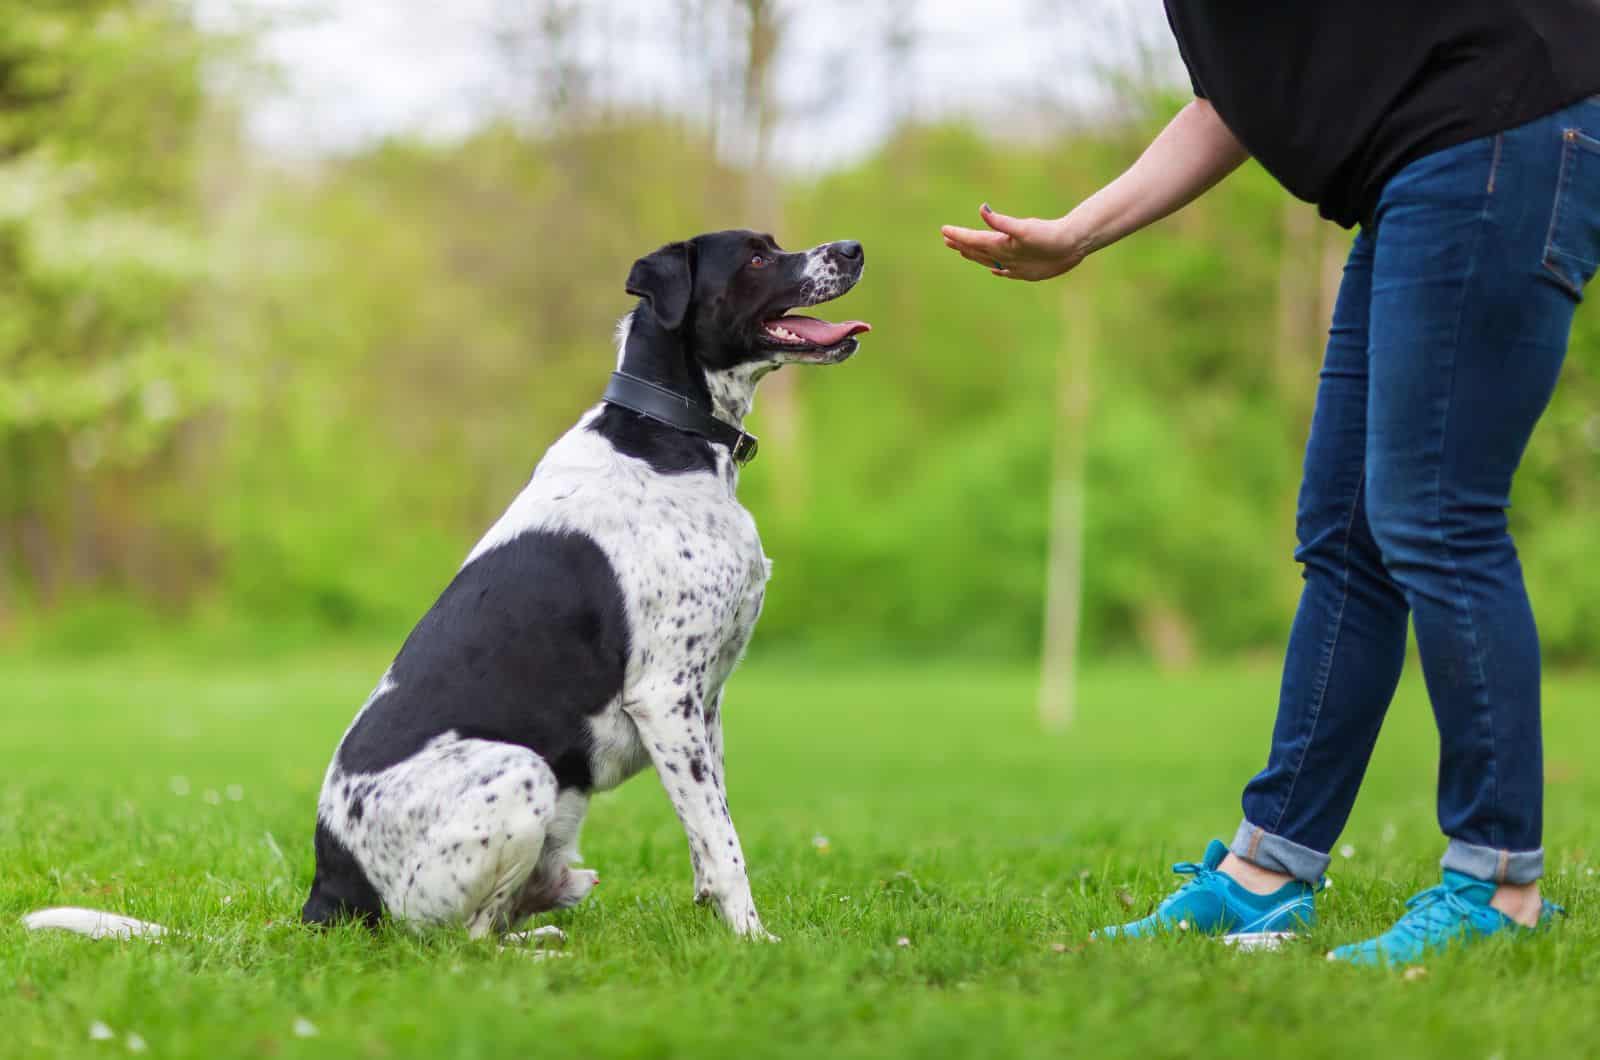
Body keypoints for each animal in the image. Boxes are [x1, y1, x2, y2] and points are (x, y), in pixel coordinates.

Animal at [25, 228, 870, 941]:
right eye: (756, 257)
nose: (854, 248)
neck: (668, 438)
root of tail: (325, 896)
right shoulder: (666, 696)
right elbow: (725, 844)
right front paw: (752, 941)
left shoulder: (704, 702)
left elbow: (707, 833)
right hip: (522, 773)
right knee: (458, 941)